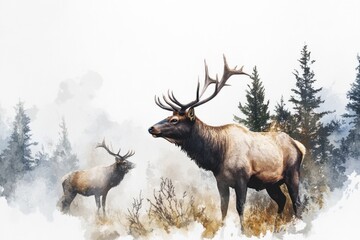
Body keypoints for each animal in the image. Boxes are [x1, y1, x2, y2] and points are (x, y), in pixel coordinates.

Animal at [148, 55, 306, 229]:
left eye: (174, 120)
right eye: (169, 116)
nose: (151, 128)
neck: (217, 156)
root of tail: (299, 146)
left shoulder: (242, 178)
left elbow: (240, 207)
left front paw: (243, 230)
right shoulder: (221, 181)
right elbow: (223, 208)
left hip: (292, 173)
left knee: (297, 202)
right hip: (271, 183)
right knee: (282, 200)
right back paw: (276, 227)